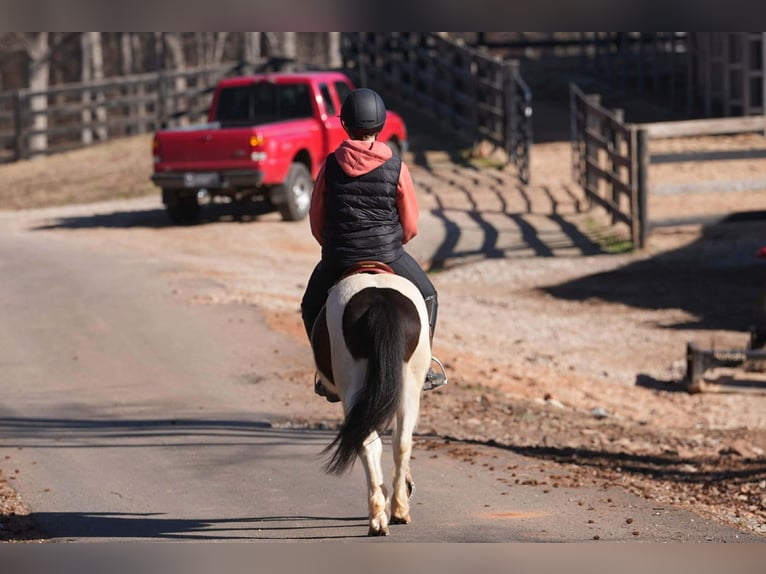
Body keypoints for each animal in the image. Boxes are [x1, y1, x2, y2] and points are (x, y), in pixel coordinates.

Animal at [310, 262, 432, 536]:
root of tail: (379, 301)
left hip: (357, 386)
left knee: (372, 441)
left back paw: (380, 516)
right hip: (408, 386)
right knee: (399, 442)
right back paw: (394, 510)